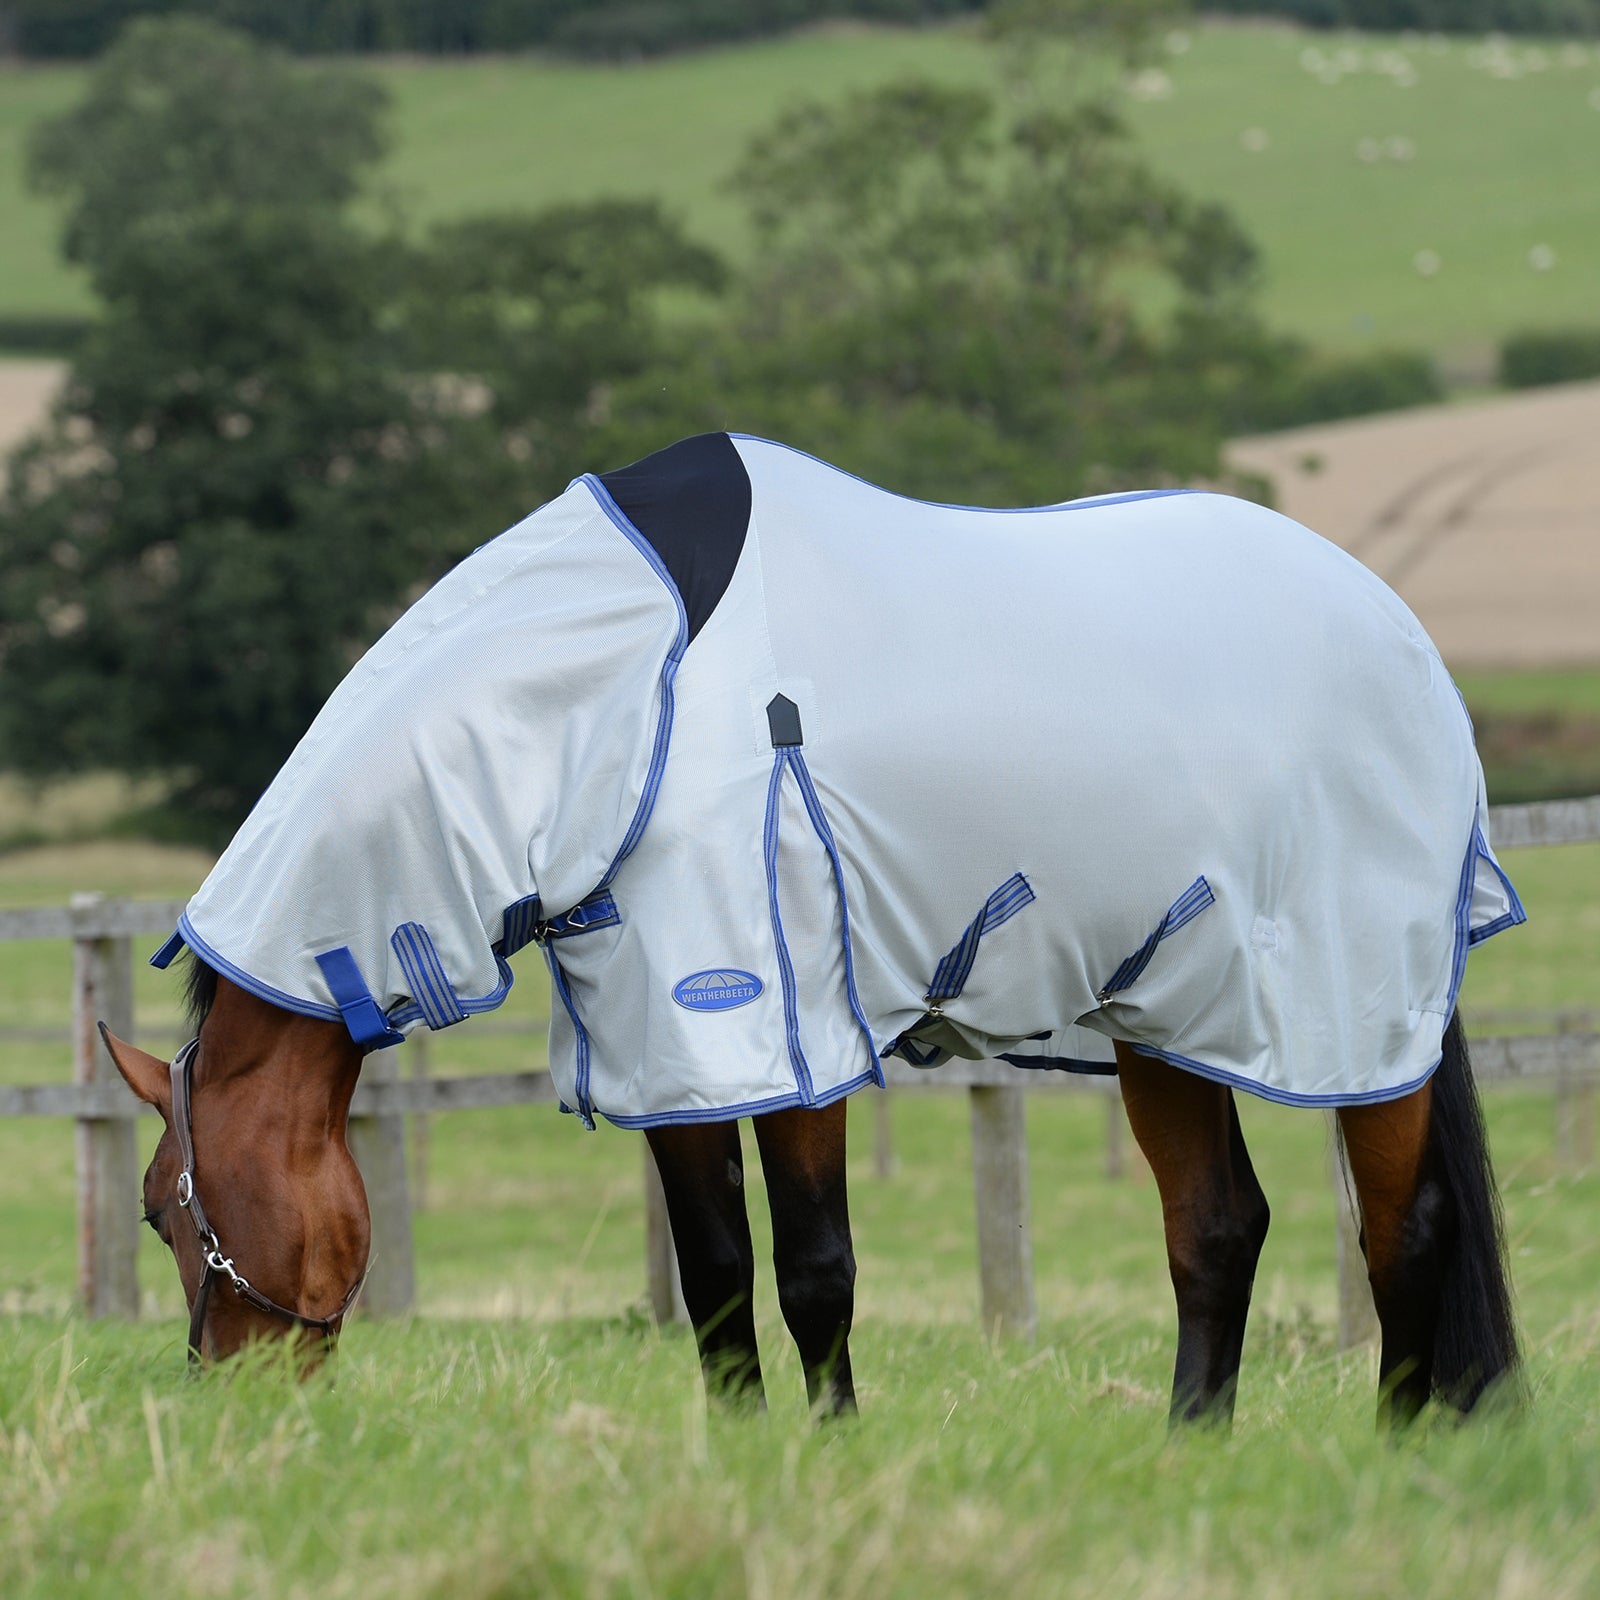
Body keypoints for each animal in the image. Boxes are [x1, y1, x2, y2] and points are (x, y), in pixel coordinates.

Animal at [106, 431, 1523, 1427]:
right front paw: (741, 1449)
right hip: (1168, 1017)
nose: (230, 1404)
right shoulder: (663, 1041)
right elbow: (717, 1272)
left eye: (167, 1212)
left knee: (1404, 1226)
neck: (623, 684)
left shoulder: (786, 1028)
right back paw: (1188, 1449)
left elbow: (813, 1268)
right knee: (1217, 1228)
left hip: (1354, 1014)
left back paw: (1399, 1447)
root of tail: (1400, 633)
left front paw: (829, 1444)